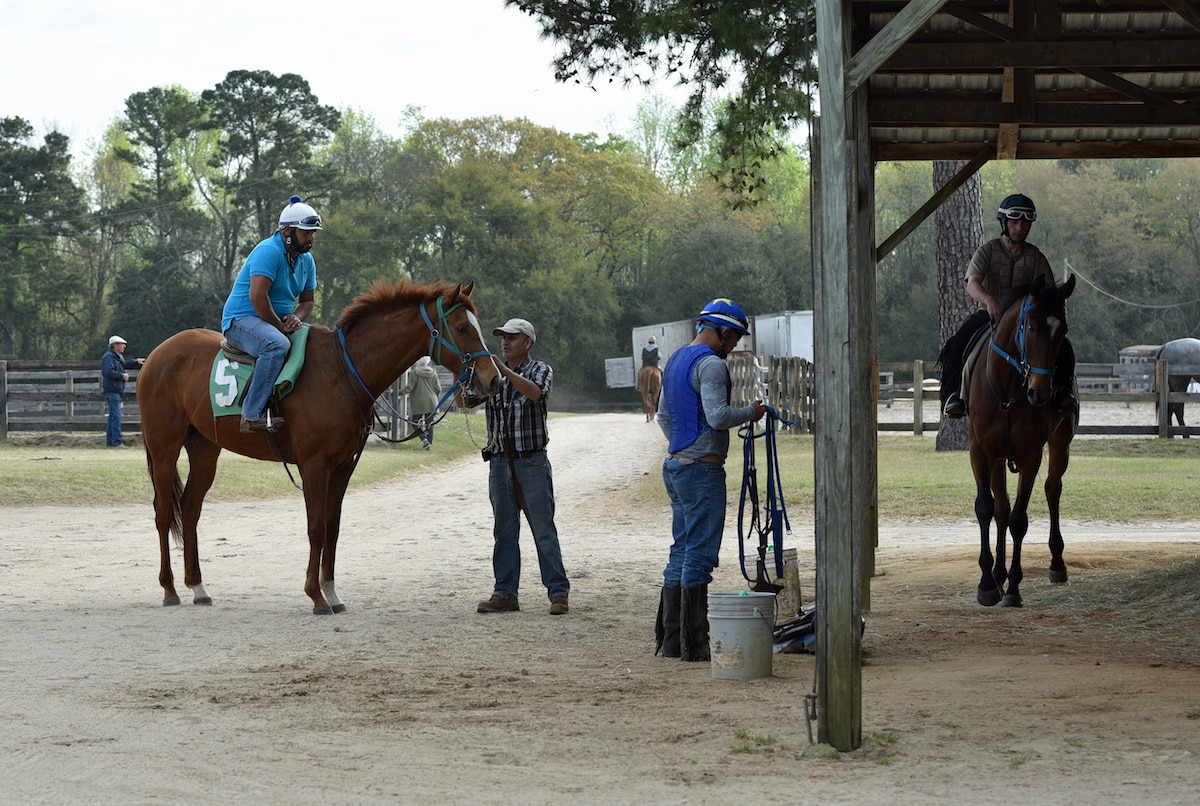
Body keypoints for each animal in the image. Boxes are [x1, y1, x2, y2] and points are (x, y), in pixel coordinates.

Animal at [138, 280, 499, 614]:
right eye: (462, 327)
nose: (493, 377)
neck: (342, 372)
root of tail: (157, 355)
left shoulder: (342, 466)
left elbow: (331, 528)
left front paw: (332, 591)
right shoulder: (314, 465)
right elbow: (315, 528)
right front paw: (316, 595)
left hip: (204, 450)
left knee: (190, 508)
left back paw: (197, 586)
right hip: (164, 447)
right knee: (163, 512)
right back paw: (170, 589)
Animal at [964, 273, 1080, 606]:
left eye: (1062, 331)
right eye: (1030, 327)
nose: (1040, 392)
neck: (1006, 390)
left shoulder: (1031, 455)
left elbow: (1019, 519)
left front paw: (1014, 588)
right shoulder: (980, 451)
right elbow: (987, 508)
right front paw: (988, 583)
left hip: (1060, 444)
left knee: (1052, 489)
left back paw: (1056, 563)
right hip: (998, 457)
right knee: (1000, 508)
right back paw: (998, 574)